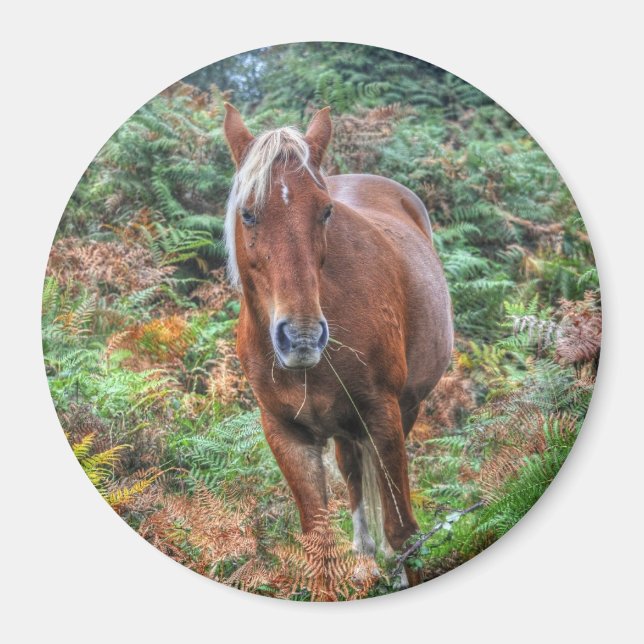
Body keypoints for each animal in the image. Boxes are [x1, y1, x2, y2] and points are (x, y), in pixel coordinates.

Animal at [222, 103, 453, 587]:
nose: (302, 337)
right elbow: (318, 545)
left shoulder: (382, 414)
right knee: (351, 471)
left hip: (405, 409)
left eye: (326, 211)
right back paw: (364, 558)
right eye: (248, 214)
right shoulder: (286, 433)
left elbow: (402, 530)